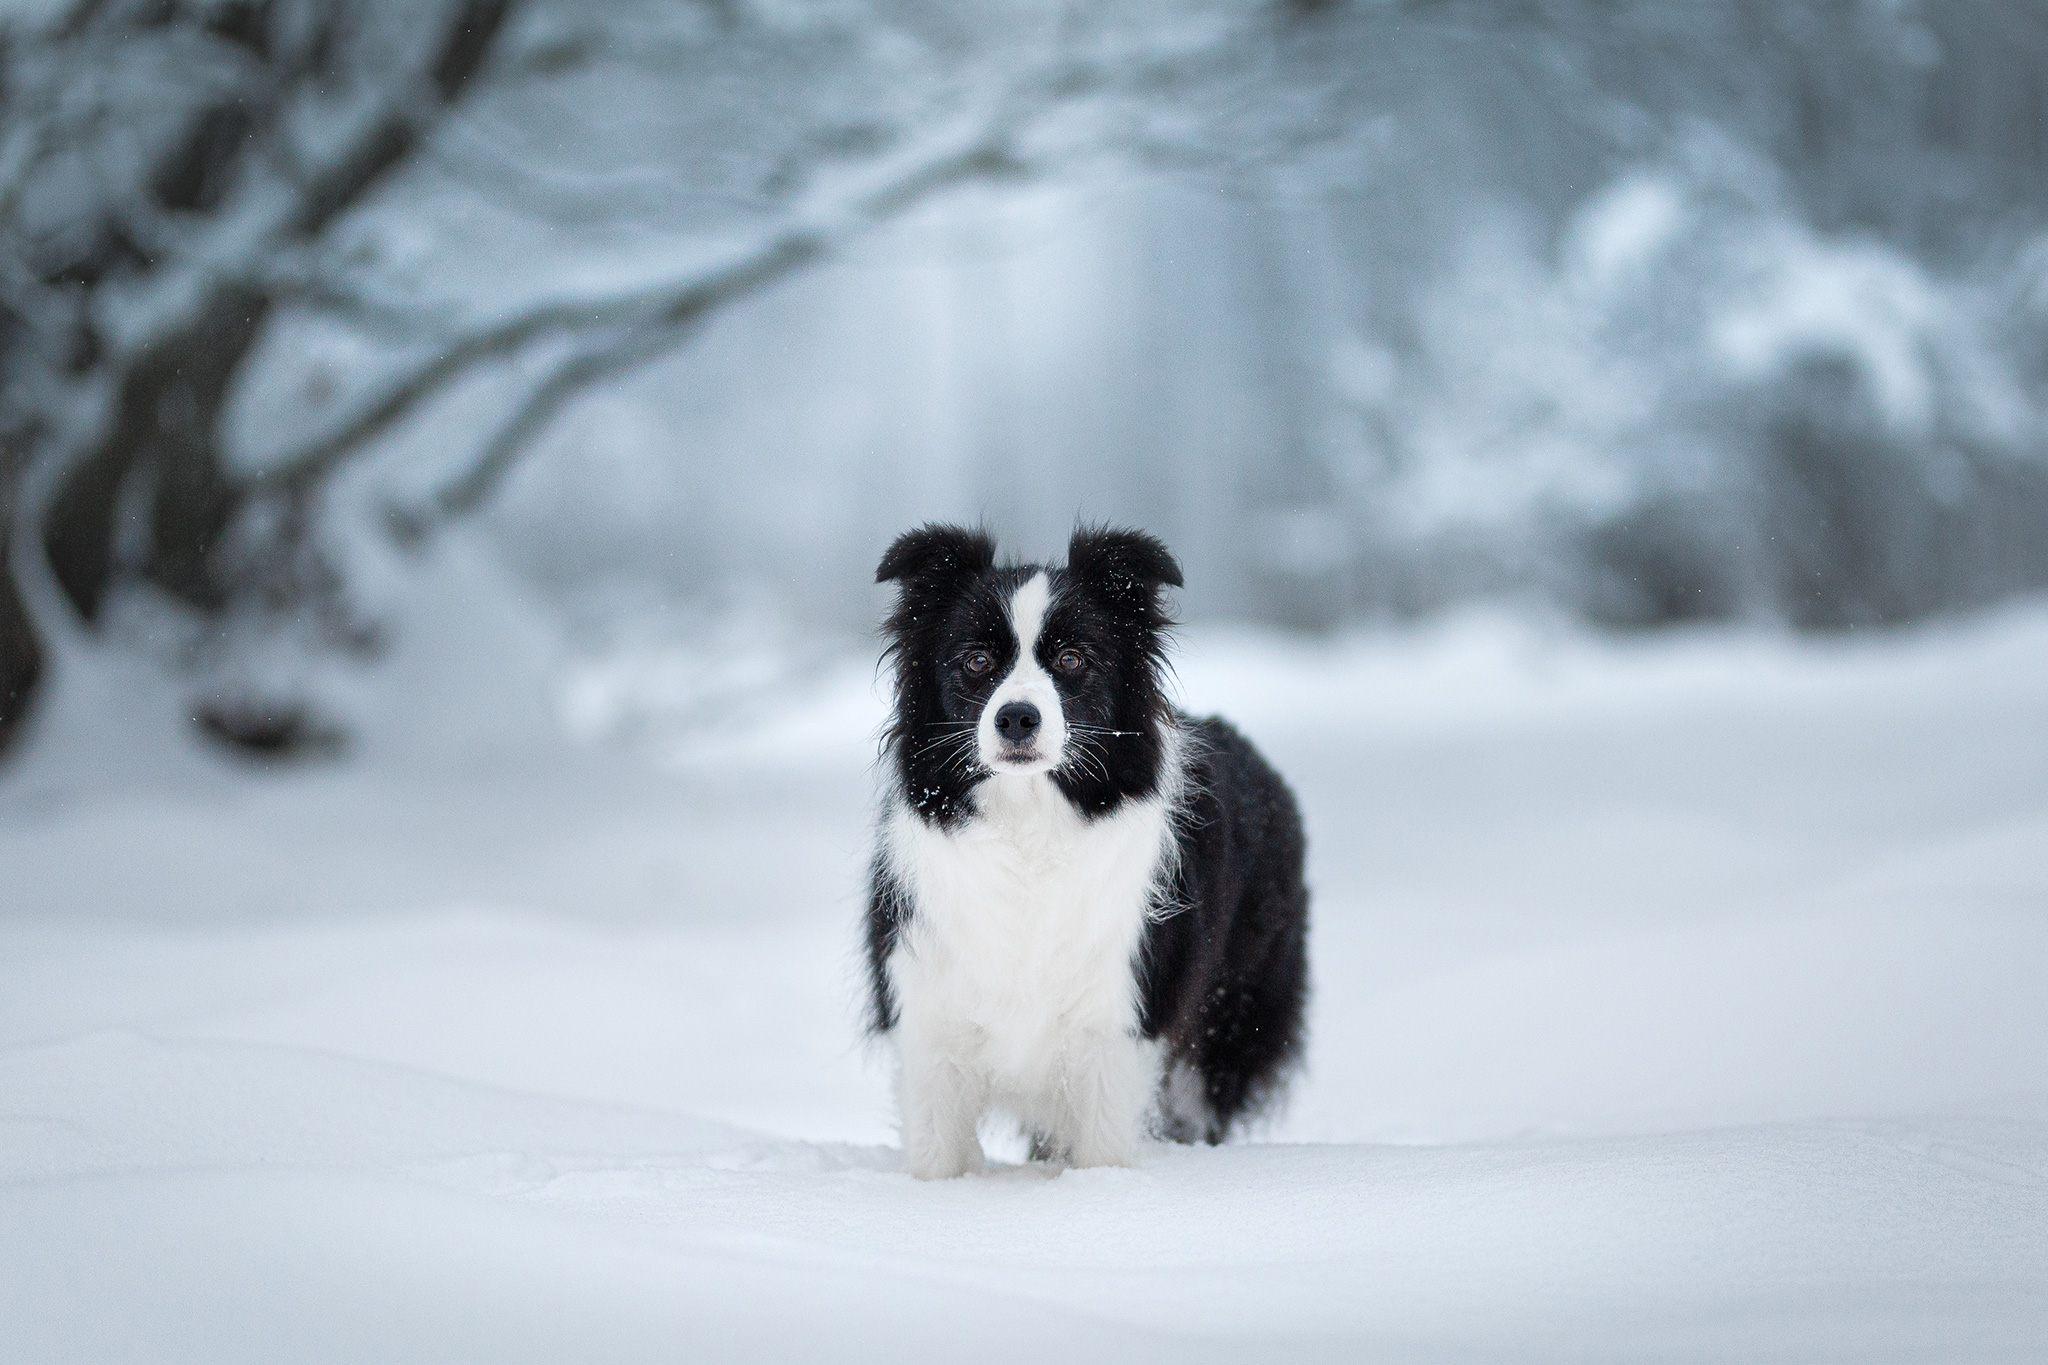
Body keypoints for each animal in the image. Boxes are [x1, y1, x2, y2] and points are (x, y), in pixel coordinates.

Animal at [864, 523, 1310, 1178]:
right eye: (976, 661)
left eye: (1073, 659)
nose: (1017, 718)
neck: (1028, 825)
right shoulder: (927, 1006)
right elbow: (937, 1153)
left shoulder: (1116, 1019)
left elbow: (1103, 1147)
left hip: (1233, 1012)